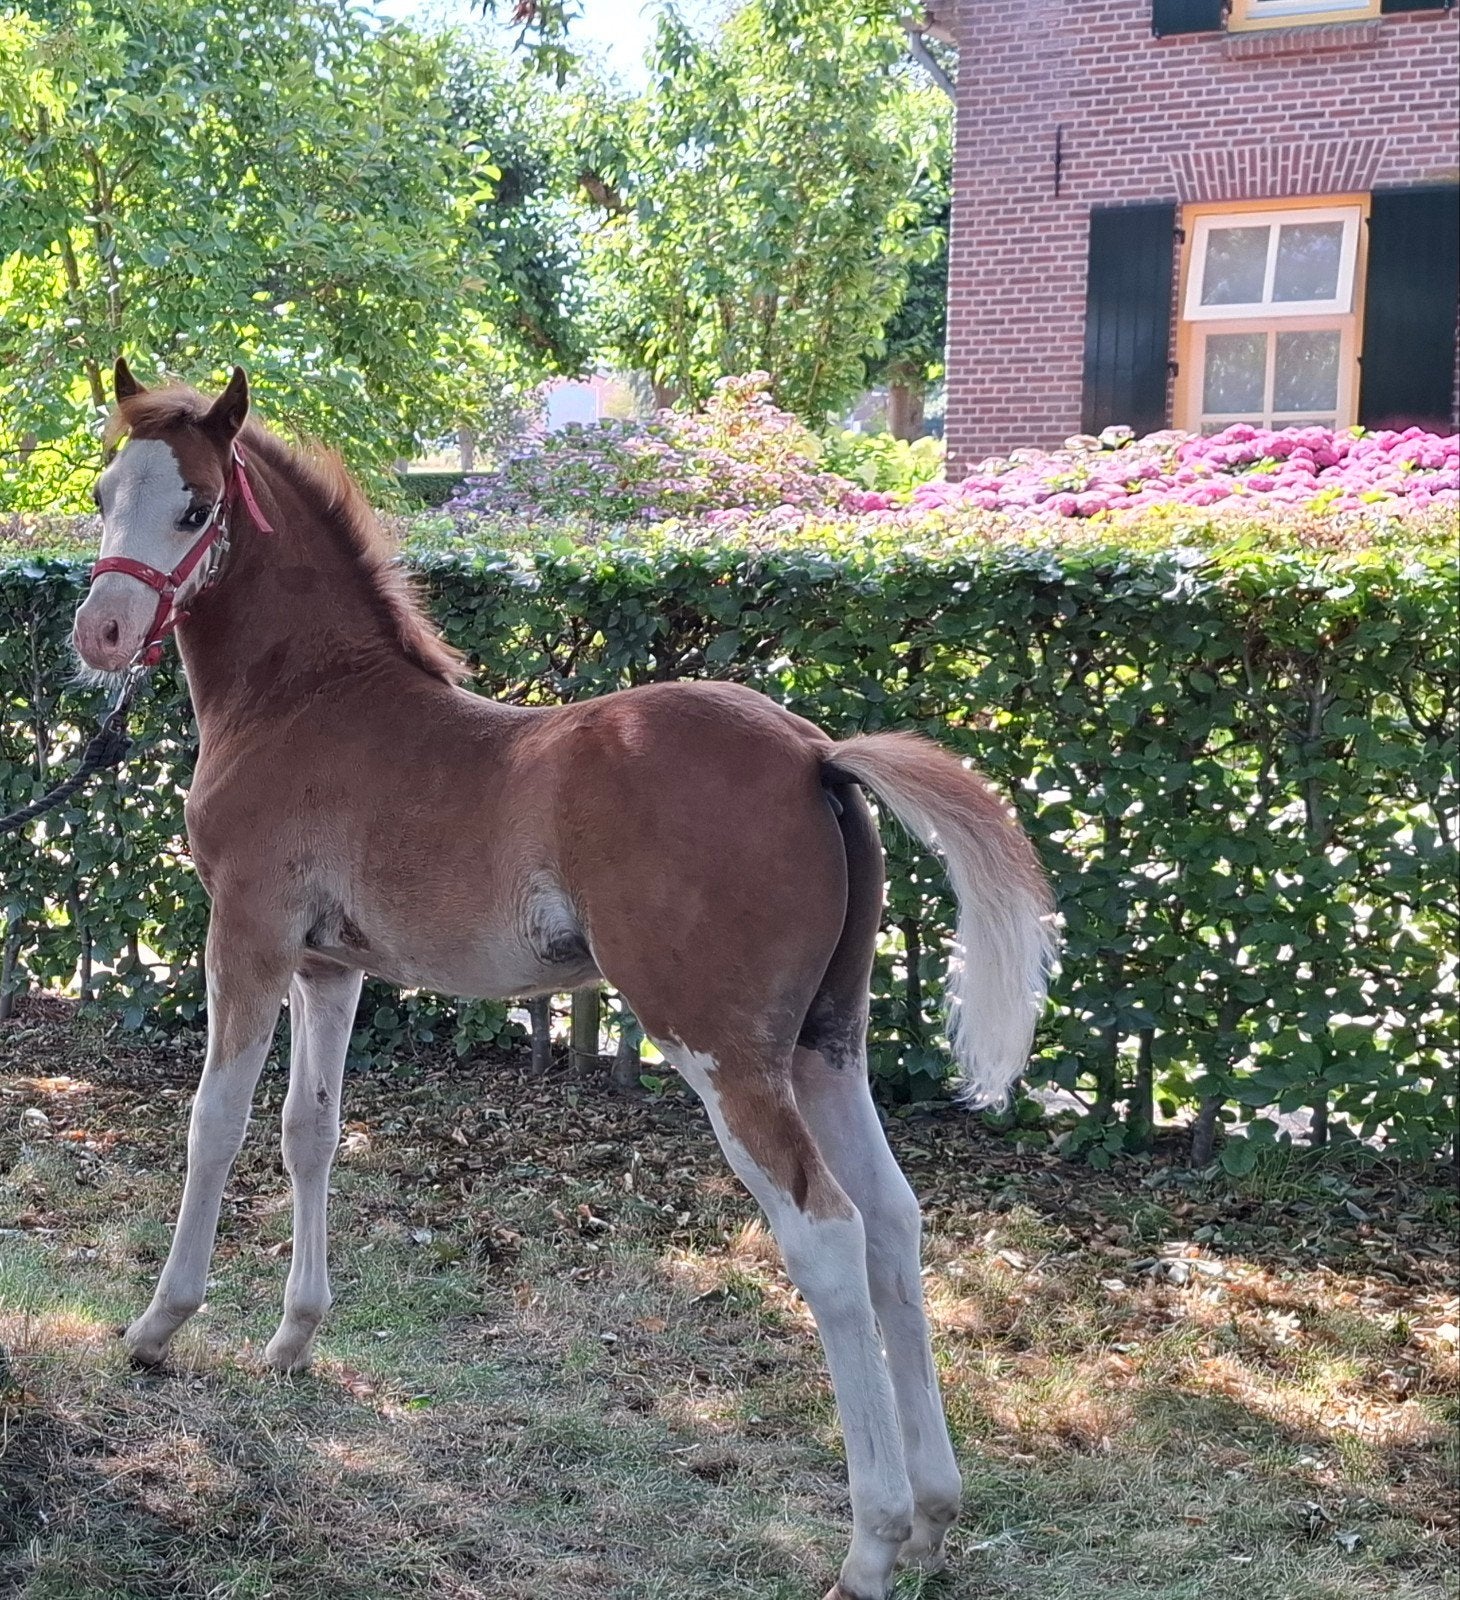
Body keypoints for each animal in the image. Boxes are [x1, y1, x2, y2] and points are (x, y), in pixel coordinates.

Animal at [71, 358, 1055, 1600]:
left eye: (194, 507)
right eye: (104, 491)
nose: (101, 631)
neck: (306, 697)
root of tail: (813, 752)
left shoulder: (244, 936)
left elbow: (213, 1122)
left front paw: (159, 1325)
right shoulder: (332, 967)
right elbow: (310, 1130)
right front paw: (292, 1338)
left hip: (720, 1046)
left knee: (823, 1232)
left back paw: (869, 1542)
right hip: (825, 1043)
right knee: (889, 1219)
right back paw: (930, 1516)